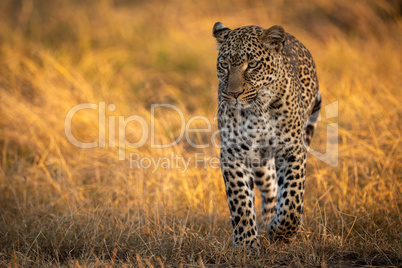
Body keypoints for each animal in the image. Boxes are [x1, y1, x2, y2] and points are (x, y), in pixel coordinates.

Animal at [212, 21, 322, 249]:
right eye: (224, 65)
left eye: (253, 65)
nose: (233, 94)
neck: (258, 110)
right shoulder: (233, 154)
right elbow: (240, 201)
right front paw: (246, 243)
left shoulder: (292, 150)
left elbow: (292, 198)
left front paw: (282, 233)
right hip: (260, 163)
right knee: (270, 188)